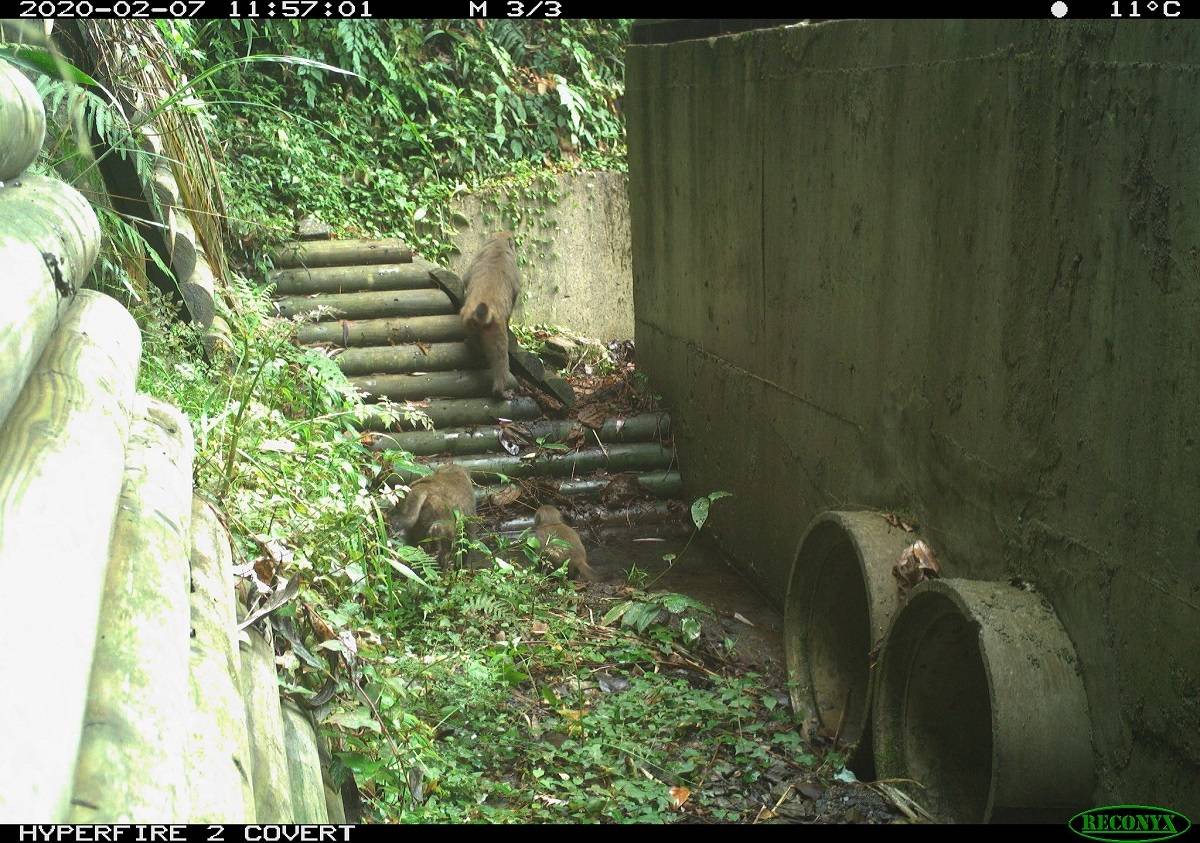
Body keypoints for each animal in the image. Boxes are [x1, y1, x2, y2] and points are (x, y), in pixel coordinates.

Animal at [458, 232, 520, 401]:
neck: (498, 245)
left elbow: (465, 280)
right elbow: (515, 295)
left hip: (467, 321)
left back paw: (471, 345)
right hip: (496, 331)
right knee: (501, 359)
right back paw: (501, 392)